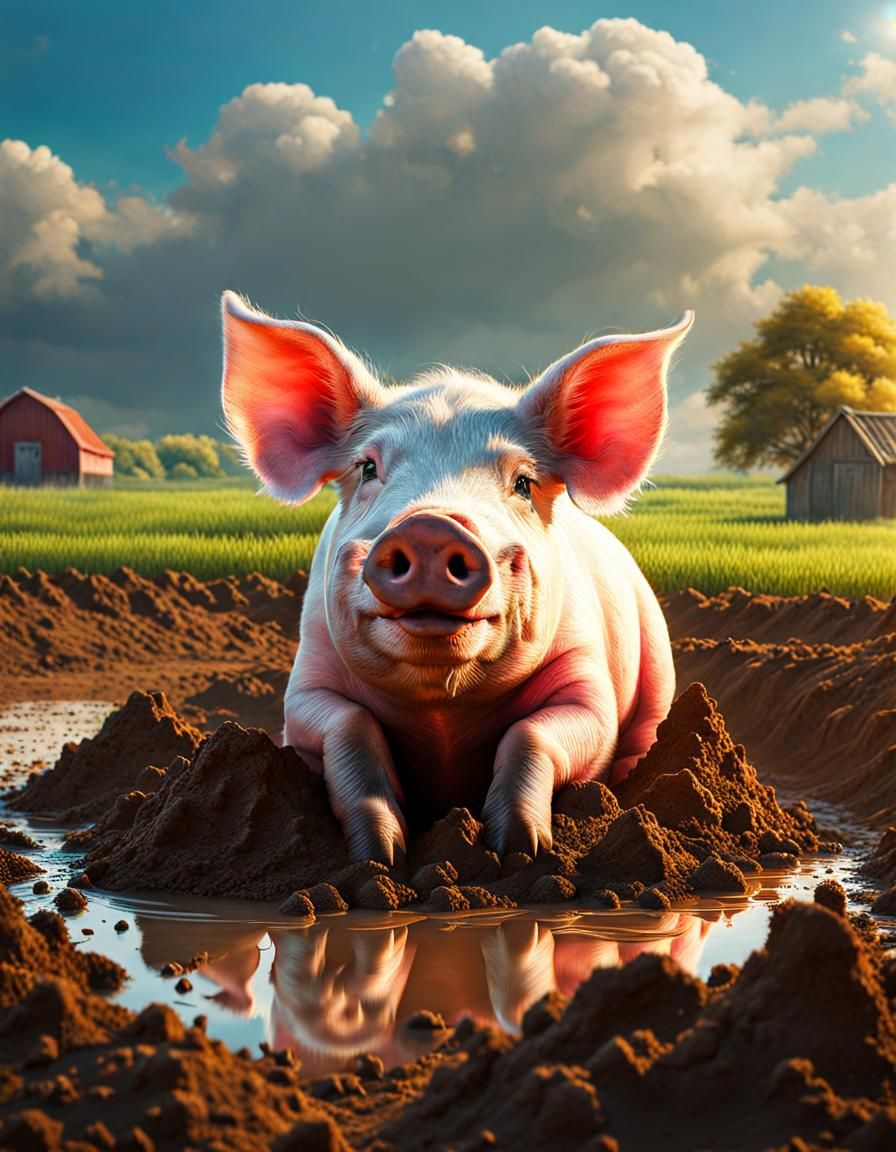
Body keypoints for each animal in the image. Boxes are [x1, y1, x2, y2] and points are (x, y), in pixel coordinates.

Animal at [221, 292, 693, 864]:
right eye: (367, 468)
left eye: (523, 482)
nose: (430, 525)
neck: (442, 710)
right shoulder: (306, 683)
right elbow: (349, 725)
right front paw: (380, 857)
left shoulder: (587, 678)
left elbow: (534, 733)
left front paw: (519, 849)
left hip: (657, 674)